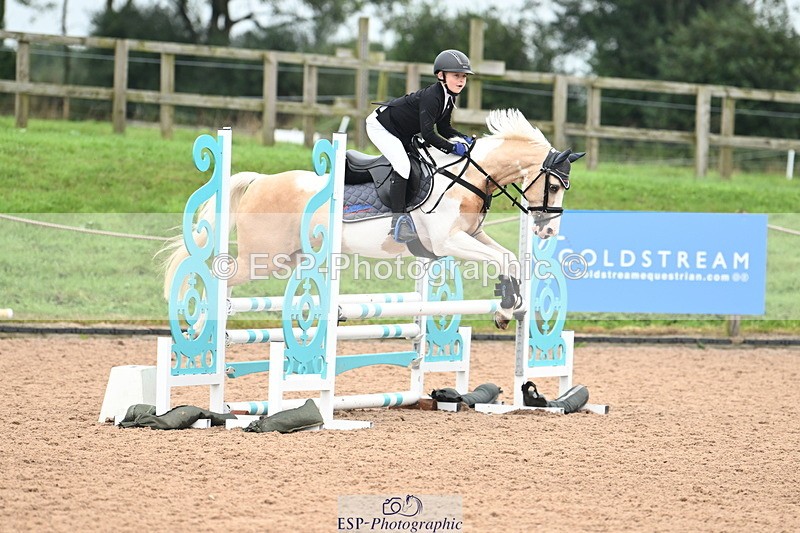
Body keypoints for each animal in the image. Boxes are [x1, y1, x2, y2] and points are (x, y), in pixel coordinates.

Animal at [161, 108, 584, 329]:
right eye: (555, 185)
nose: (548, 229)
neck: (468, 176)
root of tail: (261, 180)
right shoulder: (447, 242)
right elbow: (501, 259)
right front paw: (506, 305)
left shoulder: (471, 237)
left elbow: (509, 258)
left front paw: (507, 306)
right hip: (264, 258)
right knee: (220, 275)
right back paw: (206, 321)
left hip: (290, 257)